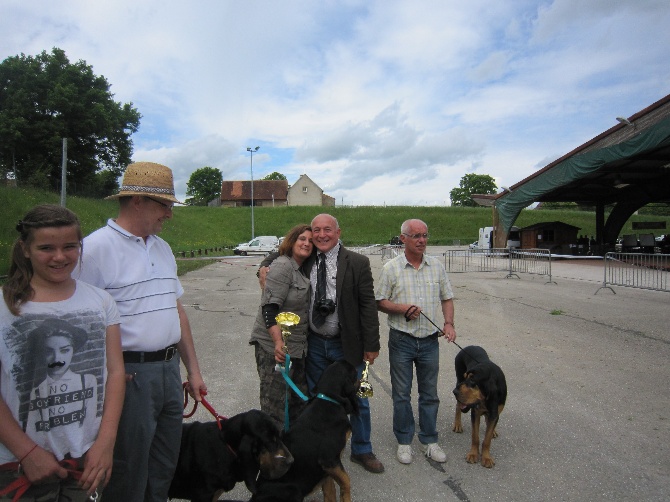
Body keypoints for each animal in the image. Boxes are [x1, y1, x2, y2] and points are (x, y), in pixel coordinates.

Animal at [258, 360, 362, 502]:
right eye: (354, 372)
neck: (329, 400)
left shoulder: (327, 469)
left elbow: (330, 490)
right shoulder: (329, 459)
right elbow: (346, 481)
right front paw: (346, 496)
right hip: (294, 490)